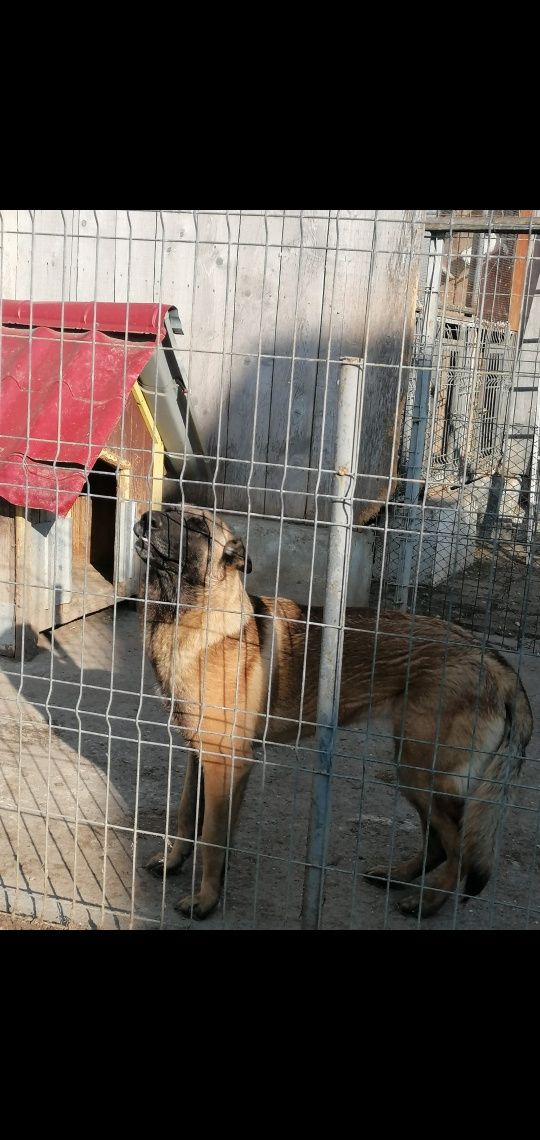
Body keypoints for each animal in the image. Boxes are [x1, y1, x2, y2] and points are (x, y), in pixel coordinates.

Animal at [133, 503, 530, 921]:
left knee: (459, 850)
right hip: (415, 773)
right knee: (438, 842)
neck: (189, 614)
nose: (146, 519)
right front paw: (174, 862)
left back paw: (427, 902)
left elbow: (212, 837)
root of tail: (494, 659)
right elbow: (185, 816)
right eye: (168, 511)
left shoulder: (228, 762)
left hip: (422, 771)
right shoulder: (199, 756)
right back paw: (398, 876)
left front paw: (206, 899)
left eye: (196, 526)